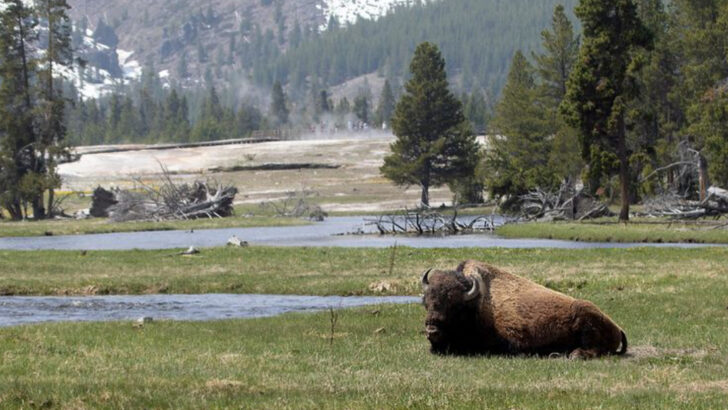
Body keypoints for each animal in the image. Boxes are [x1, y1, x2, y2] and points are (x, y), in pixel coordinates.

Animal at [424, 260, 628, 358]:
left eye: (455, 306)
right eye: (425, 302)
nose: (432, 330)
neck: (476, 303)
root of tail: (618, 328)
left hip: (585, 317)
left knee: (595, 349)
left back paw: (575, 355)